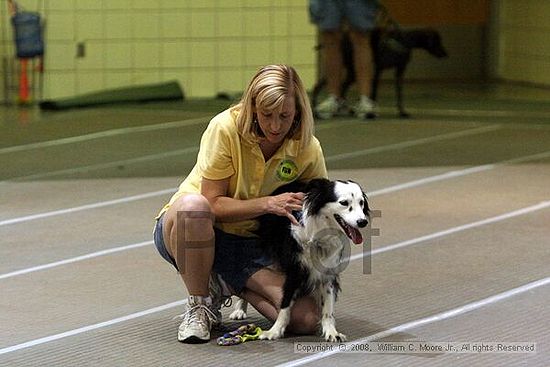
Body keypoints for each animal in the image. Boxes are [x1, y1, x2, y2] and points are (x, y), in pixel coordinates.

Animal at [314, 28, 448, 118]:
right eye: (438, 41)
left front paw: (402, 112)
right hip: (349, 70)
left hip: (351, 71)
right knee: (327, 86)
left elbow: (399, 93)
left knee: (339, 87)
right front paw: (371, 111)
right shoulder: (378, 70)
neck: (404, 41)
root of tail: (343, 40)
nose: (445, 54)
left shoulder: (399, 71)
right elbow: (374, 92)